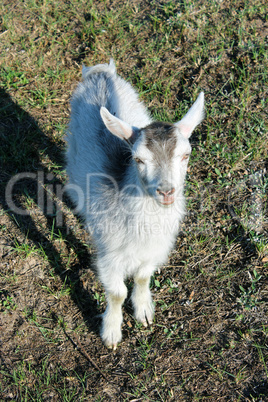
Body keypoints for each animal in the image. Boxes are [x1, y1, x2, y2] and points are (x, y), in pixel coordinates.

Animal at [66, 59, 204, 348]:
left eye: (186, 155)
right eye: (138, 159)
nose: (166, 192)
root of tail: (99, 72)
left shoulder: (155, 249)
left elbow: (142, 276)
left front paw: (144, 312)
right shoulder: (109, 255)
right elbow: (116, 293)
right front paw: (111, 333)